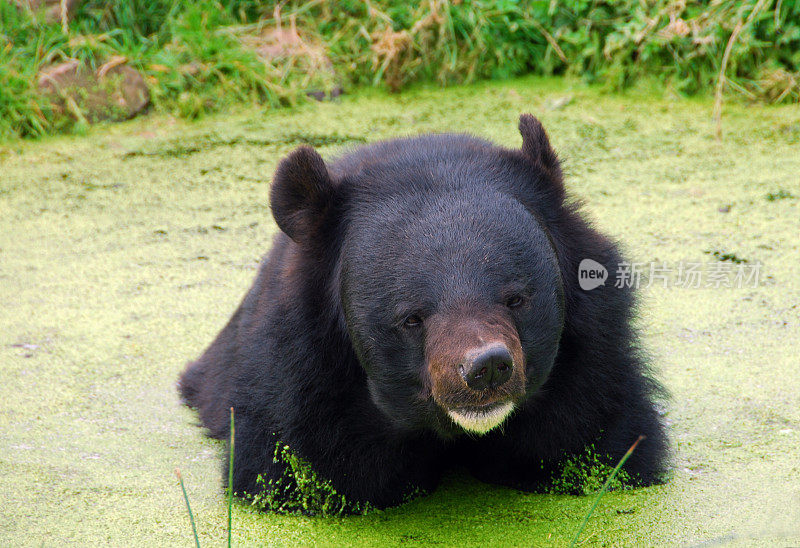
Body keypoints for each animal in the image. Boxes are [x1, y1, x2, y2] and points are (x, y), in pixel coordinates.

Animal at [180, 113, 668, 512]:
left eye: (516, 299)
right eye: (412, 318)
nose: (487, 368)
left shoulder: (592, 380)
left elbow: (605, 441)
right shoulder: (300, 395)